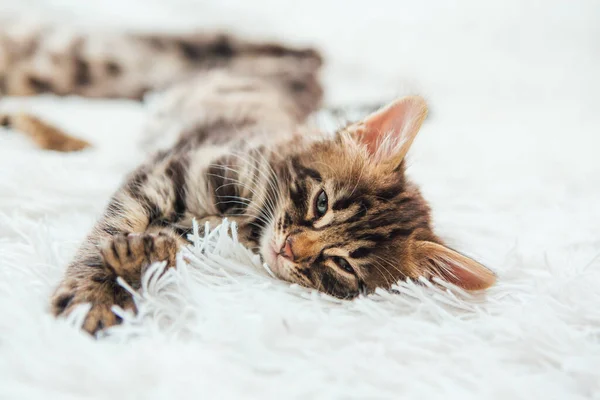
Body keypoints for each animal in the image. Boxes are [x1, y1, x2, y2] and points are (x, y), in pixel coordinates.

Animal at [1, 22, 496, 334]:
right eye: (321, 203)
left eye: (342, 264)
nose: (290, 249)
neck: (252, 218)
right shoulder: (167, 171)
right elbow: (108, 233)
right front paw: (94, 295)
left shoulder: (189, 220)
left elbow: (155, 245)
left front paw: (133, 266)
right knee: (209, 40)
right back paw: (303, 51)